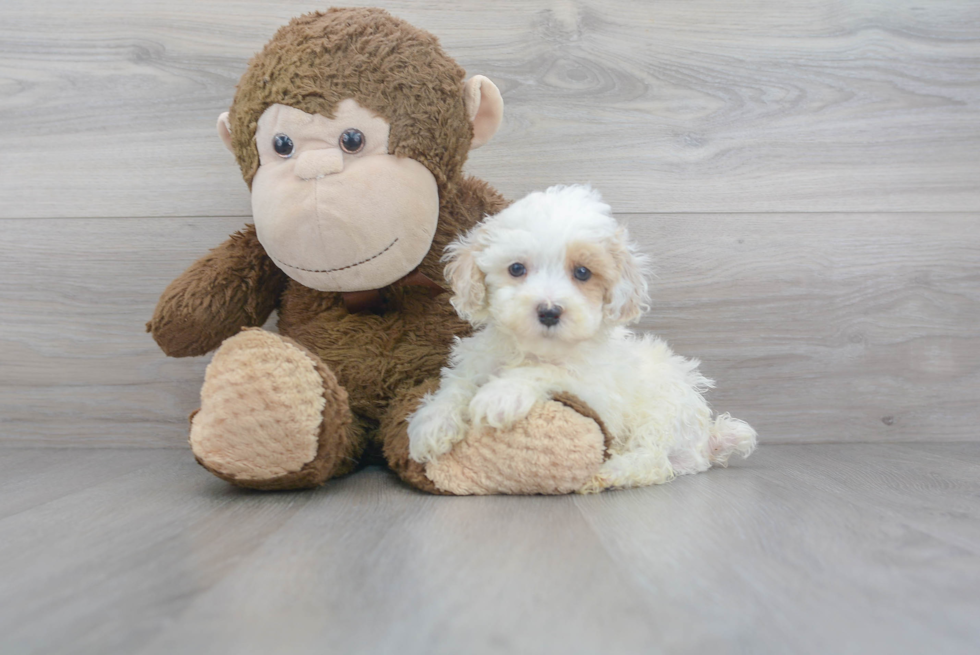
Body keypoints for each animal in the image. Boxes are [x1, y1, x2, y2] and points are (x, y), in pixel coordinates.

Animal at [406, 184, 756, 492]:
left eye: (583, 273)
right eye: (516, 269)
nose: (549, 311)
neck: (536, 348)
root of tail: (706, 440)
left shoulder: (599, 394)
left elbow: (548, 371)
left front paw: (501, 394)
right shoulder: (478, 362)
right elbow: (457, 384)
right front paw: (431, 424)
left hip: (663, 410)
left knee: (654, 461)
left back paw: (611, 472)